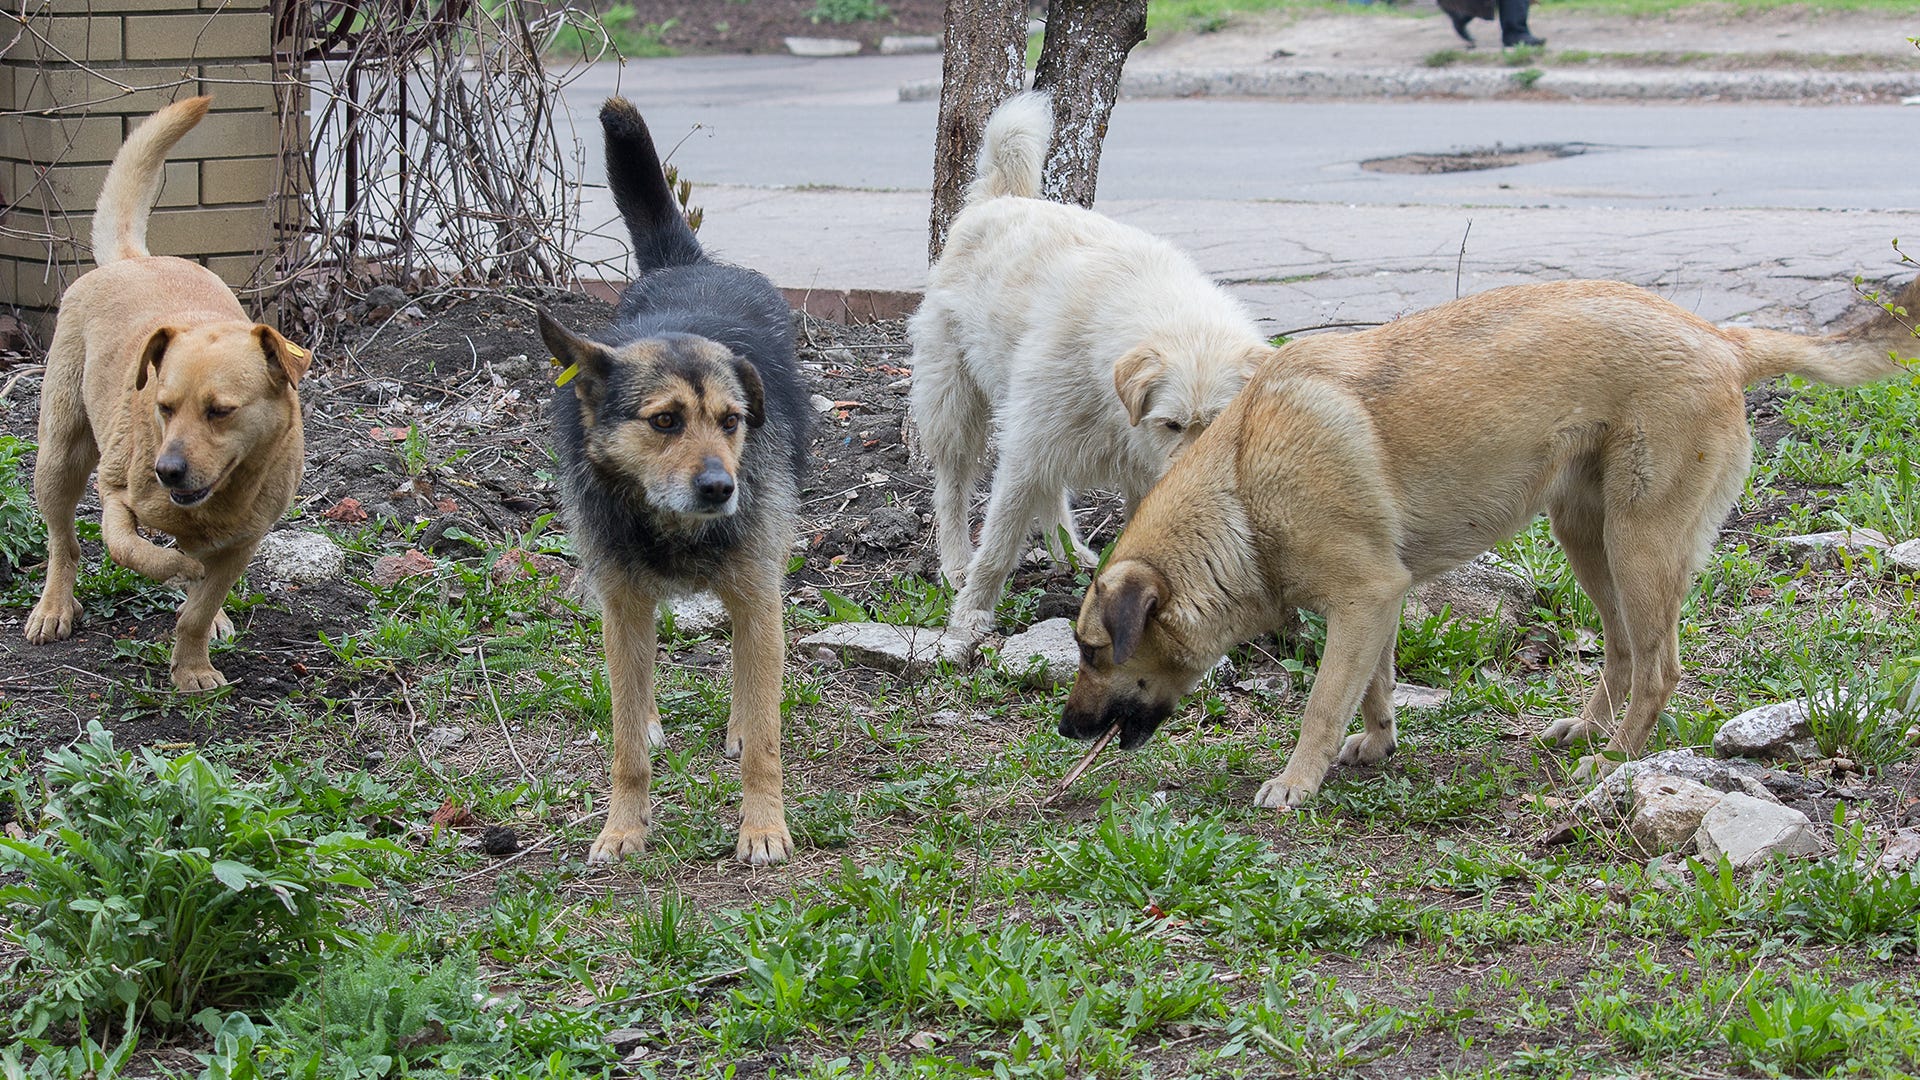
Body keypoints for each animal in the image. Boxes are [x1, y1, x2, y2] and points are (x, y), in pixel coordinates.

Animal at [23, 98, 307, 687]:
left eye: (220, 411)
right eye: (163, 407)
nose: (167, 471)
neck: (216, 502)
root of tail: (134, 258)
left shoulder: (243, 541)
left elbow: (198, 607)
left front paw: (193, 664)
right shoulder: (115, 495)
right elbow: (132, 550)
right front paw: (176, 570)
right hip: (60, 455)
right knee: (64, 543)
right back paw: (55, 606)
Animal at [545, 96, 806, 860]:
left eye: (731, 420)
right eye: (663, 421)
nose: (722, 489)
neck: (673, 525)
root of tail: (690, 263)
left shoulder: (758, 596)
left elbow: (767, 737)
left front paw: (763, 826)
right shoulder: (623, 603)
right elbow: (626, 743)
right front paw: (623, 826)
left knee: (752, 675)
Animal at [913, 94, 1274, 630]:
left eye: (1219, 425)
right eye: (1171, 425)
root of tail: (996, 199)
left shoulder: (1139, 473)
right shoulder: (1025, 450)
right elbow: (998, 543)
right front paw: (972, 613)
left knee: (1049, 490)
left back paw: (1068, 553)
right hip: (957, 406)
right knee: (953, 488)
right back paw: (956, 563)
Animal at [1059, 272, 1912, 803]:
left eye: (1094, 653)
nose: (1066, 729)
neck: (1241, 485)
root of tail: (1719, 337)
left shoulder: (1364, 597)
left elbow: (1324, 702)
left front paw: (1298, 781)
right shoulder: (1379, 602)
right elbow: (1373, 686)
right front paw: (1376, 745)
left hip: (1641, 545)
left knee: (1661, 667)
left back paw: (1617, 757)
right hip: (1589, 540)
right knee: (1624, 651)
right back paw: (1589, 728)